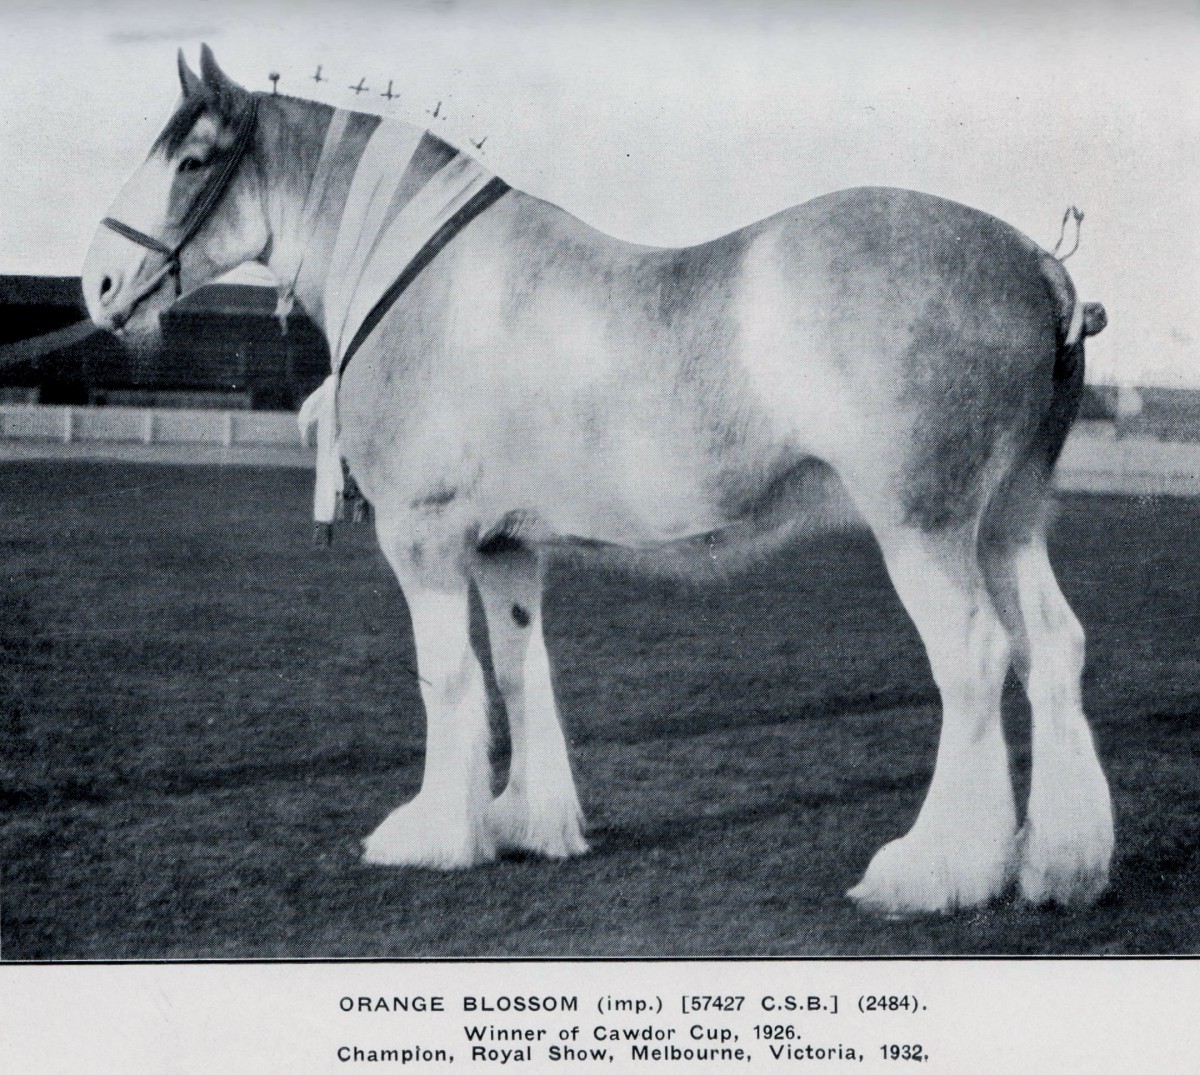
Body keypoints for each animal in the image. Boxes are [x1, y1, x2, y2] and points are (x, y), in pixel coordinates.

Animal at [82, 45, 1112, 915]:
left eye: (193, 161)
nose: (97, 287)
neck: (423, 279)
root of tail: (1038, 265)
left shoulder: (424, 536)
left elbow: (445, 676)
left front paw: (433, 833)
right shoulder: (505, 548)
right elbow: (516, 667)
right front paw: (524, 822)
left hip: (925, 527)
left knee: (975, 658)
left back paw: (935, 869)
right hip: (1008, 521)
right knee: (1052, 648)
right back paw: (1060, 862)